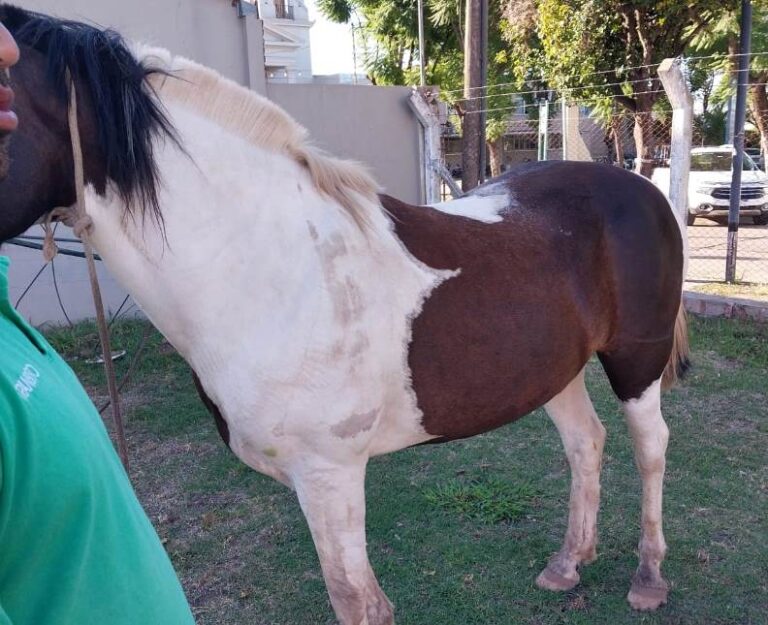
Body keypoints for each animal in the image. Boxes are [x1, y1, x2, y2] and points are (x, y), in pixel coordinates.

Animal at [0, 6, 688, 623]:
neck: (271, 268)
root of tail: (640, 187)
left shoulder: (329, 477)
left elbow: (360, 605)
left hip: (636, 362)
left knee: (651, 447)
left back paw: (649, 577)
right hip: (554, 369)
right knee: (585, 443)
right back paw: (568, 564)